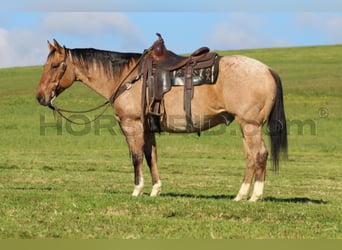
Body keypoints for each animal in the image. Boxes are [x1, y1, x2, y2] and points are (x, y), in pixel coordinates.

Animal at [36, 36, 288, 201]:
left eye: (55, 65)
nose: (40, 96)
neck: (128, 78)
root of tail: (267, 70)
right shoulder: (148, 128)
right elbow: (151, 157)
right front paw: (155, 189)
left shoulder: (132, 124)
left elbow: (136, 156)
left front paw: (137, 190)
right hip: (246, 127)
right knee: (251, 157)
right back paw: (241, 195)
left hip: (251, 125)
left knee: (260, 154)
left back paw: (255, 196)